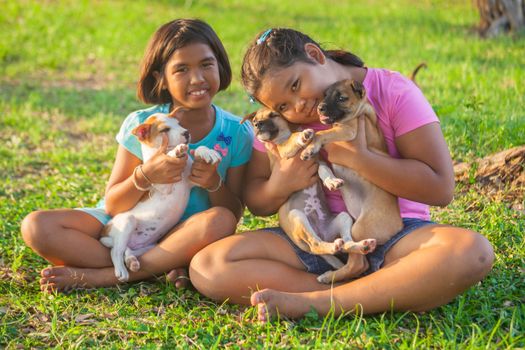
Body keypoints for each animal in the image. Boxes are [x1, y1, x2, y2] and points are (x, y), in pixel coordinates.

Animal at [100, 108, 221, 282]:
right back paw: (121, 270)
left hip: (149, 245)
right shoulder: (163, 185)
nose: (187, 132)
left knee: (126, 250)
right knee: (115, 251)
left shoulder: (192, 180)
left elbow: (198, 150)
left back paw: (132, 261)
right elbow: (169, 157)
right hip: (127, 222)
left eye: (179, 124)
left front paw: (207, 152)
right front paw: (175, 152)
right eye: (165, 130)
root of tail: (105, 231)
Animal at [242, 108, 376, 284]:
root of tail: (321, 233)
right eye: (254, 120)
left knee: (346, 242)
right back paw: (334, 246)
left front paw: (331, 182)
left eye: (273, 115)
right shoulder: (284, 152)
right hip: (297, 216)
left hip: (343, 217)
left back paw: (362, 245)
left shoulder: (318, 161)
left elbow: (324, 171)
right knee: (316, 244)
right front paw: (302, 135)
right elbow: (292, 140)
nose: (257, 124)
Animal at [298, 79, 402, 276]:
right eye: (325, 95)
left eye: (341, 98)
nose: (320, 108)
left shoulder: (348, 130)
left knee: (357, 263)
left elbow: (321, 133)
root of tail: (397, 228)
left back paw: (330, 276)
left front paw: (310, 147)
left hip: (359, 229)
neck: (360, 112)